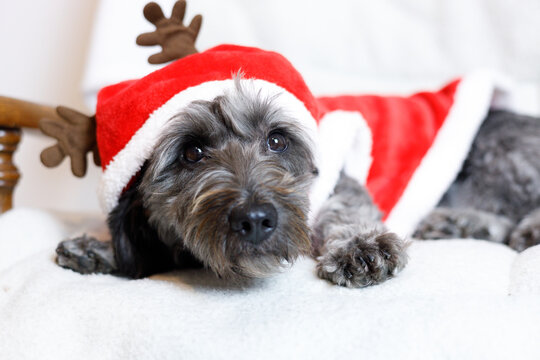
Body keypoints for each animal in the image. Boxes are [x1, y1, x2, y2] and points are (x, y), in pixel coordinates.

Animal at [56, 82, 410, 286]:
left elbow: (344, 208)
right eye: (192, 152)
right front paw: (98, 250)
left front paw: (359, 244)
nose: (254, 220)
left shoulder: (341, 183)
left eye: (277, 140)